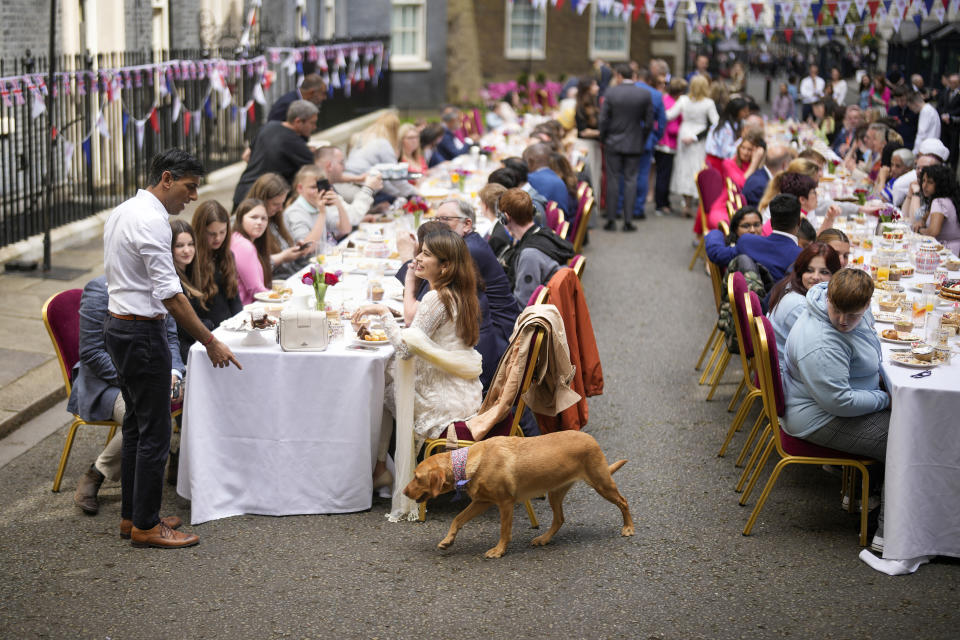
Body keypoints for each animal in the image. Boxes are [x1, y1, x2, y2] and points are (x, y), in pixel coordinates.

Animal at [402, 430, 632, 560]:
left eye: (416, 477)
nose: (403, 491)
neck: (468, 462)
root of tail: (591, 438)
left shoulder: (505, 503)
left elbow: (504, 531)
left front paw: (499, 551)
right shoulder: (482, 501)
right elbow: (457, 519)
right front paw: (447, 541)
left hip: (601, 482)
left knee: (623, 501)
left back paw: (628, 528)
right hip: (555, 491)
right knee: (559, 519)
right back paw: (543, 539)